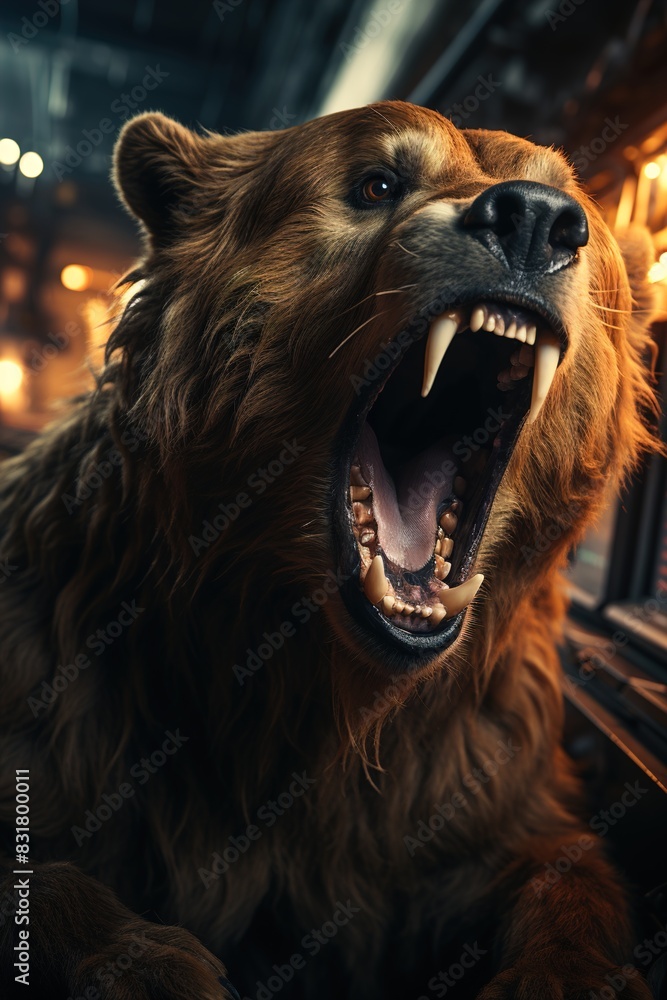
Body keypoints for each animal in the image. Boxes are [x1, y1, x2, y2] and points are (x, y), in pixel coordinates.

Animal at [0, 100, 660, 1000]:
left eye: (574, 210)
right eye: (376, 182)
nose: (532, 218)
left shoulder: (475, 798)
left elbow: (566, 876)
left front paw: (569, 976)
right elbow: (45, 878)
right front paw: (149, 964)